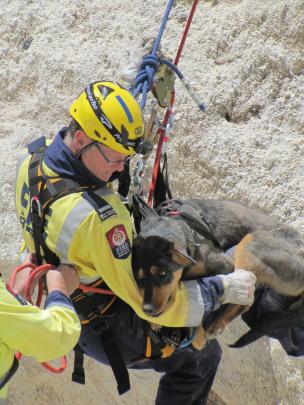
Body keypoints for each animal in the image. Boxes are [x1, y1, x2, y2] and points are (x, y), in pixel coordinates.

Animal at [132, 199, 304, 348]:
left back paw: (211, 327)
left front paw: (197, 331)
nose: (147, 310)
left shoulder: (225, 265)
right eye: (138, 279)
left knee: (243, 302)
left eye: (162, 273)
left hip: (248, 245)